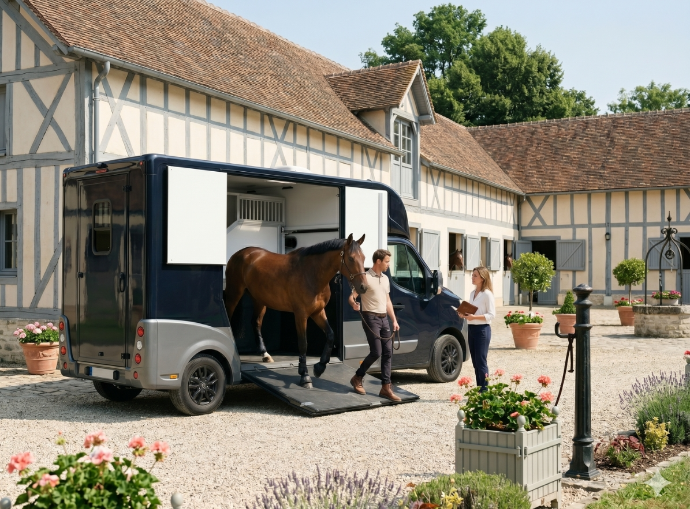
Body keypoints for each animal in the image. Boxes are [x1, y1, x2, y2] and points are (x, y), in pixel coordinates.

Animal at [223, 234, 369, 388]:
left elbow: (330, 335)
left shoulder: (318, 312)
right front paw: (305, 376)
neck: (311, 274)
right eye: (351, 258)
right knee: (229, 318)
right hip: (234, 294)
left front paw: (319, 367)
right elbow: (303, 343)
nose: (363, 287)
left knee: (256, 322)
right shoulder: (301, 314)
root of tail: (240, 253)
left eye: (364, 257)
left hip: (259, 299)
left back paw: (265, 354)